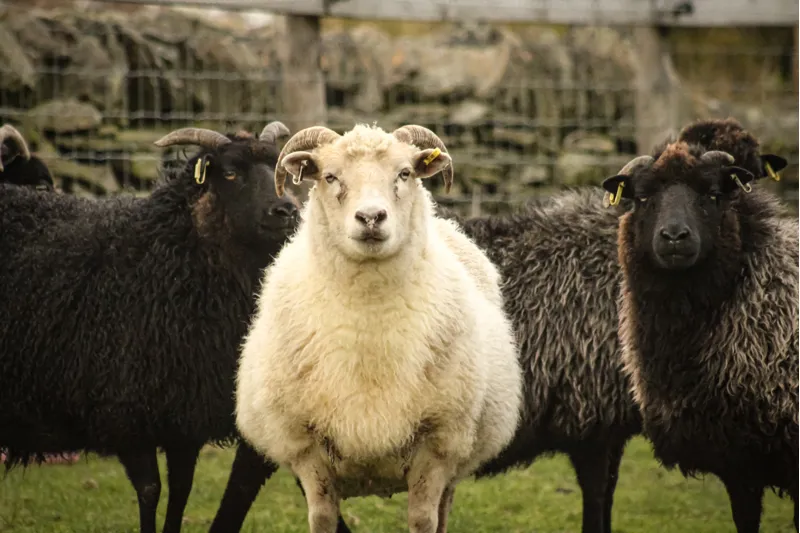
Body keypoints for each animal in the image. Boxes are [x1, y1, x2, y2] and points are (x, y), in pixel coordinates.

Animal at [0, 121, 299, 533]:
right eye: (230, 173)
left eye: (280, 169)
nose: (287, 209)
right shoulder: (124, 409)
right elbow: (150, 490)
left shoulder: (185, 412)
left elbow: (181, 489)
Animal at [234, 123, 523, 533]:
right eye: (329, 176)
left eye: (404, 173)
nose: (371, 217)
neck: (368, 322)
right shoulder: (305, 446)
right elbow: (322, 517)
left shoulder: (438, 443)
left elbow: (423, 519)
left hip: (458, 457)